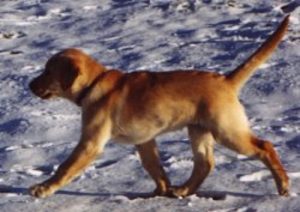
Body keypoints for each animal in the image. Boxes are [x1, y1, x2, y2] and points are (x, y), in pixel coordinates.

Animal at [29, 16, 290, 199]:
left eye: (48, 72)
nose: (29, 85)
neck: (93, 83)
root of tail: (226, 80)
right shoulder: (144, 140)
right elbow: (154, 168)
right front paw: (161, 191)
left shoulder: (90, 143)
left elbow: (65, 168)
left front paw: (44, 189)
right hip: (199, 130)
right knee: (205, 164)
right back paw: (182, 190)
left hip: (227, 131)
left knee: (265, 147)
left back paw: (283, 186)